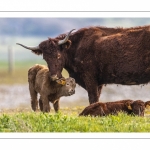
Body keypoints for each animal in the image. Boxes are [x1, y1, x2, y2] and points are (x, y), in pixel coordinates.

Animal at [16, 25, 150, 106]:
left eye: (58, 55)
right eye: (45, 58)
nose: (54, 77)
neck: (76, 47)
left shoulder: (90, 79)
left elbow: (93, 98)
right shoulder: (98, 82)